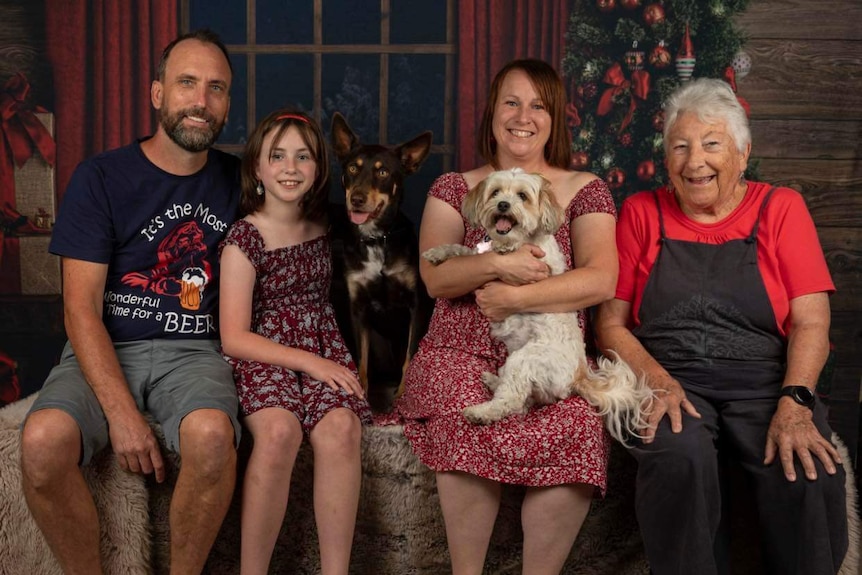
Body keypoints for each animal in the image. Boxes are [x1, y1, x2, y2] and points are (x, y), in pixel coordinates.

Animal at [332, 113, 438, 400]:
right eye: (353, 168)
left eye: (382, 172)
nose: (357, 199)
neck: (376, 239)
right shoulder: (357, 308)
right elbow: (361, 359)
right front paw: (361, 392)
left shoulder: (417, 304)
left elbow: (410, 355)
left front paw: (403, 393)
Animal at [426, 166, 656, 446]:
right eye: (495, 192)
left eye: (522, 196)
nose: (503, 205)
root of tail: (577, 377)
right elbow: (469, 253)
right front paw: (439, 253)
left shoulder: (525, 267)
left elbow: (489, 255)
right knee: (522, 399)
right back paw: (493, 380)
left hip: (524, 359)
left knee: (512, 401)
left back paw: (481, 412)